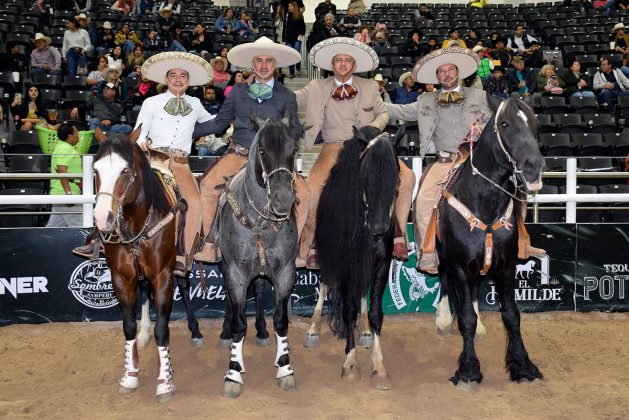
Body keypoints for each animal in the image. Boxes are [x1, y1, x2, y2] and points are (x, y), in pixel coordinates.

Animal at [91, 132, 197, 400]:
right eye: (95, 169)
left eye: (126, 170)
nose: (101, 218)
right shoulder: (121, 277)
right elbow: (128, 326)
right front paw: (129, 374)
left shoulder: (163, 275)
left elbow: (163, 329)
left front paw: (164, 381)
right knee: (145, 292)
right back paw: (144, 334)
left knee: (184, 286)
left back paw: (195, 330)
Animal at [217, 114, 298, 398]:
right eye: (262, 150)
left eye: (292, 149)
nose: (283, 199)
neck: (261, 224)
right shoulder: (236, 273)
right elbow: (240, 322)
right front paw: (232, 373)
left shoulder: (285, 272)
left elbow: (281, 320)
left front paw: (285, 368)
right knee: (231, 302)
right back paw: (225, 333)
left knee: (261, 289)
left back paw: (262, 331)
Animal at [314, 125, 402, 390]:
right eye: (365, 175)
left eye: (396, 175)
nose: (379, 225)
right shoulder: (345, 267)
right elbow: (349, 311)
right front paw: (350, 364)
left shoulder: (381, 265)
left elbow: (375, 313)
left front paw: (378, 365)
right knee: (325, 283)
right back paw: (313, 328)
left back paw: (364, 331)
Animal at [434, 98, 544, 388]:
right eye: (504, 123)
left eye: (535, 122)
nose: (533, 165)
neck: (483, 204)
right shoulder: (460, 266)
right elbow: (466, 319)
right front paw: (468, 370)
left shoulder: (506, 265)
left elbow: (512, 316)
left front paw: (523, 365)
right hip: (445, 258)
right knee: (444, 278)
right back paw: (443, 318)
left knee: (474, 289)